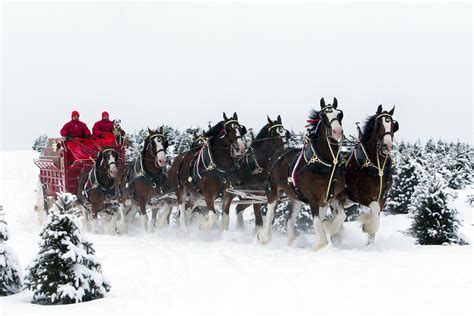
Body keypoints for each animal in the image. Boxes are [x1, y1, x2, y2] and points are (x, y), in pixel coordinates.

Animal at [258, 97, 346, 251]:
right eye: (323, 116)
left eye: (339, 114)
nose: (337, 131)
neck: (326, 163)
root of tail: (278, 152)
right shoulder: (313, 200)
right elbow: (317, 223)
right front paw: (320, 245)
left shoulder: (332, 197)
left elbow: (341, 216)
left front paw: (329, 227)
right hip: (272, 190)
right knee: (270, 213)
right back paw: (264, 237)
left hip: (296, 197)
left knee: (289, 220)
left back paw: (292, 242)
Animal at [346, 105, 398, 243]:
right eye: (377, 123)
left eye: (393, 125)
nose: (387, 145)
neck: (377, 167)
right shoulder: (363, 197)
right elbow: (374, 210)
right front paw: (367, 225)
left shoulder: (382, 197)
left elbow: (377, 217)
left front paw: (371, 243)